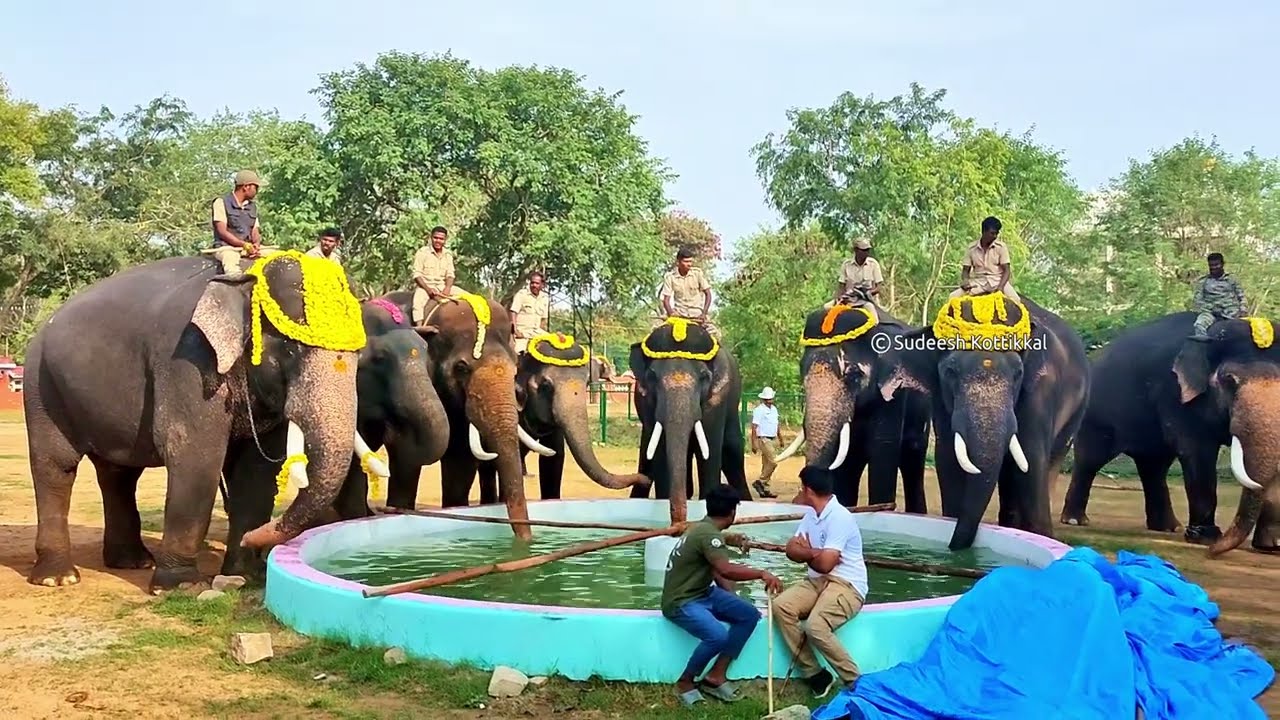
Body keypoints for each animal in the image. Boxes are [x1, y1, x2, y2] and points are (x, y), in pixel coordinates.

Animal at [22, 252, 368, 592]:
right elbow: (194, 455)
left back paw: (131, 562)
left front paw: (245, 576)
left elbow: (256, 469)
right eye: (291, 348)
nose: (254, 540)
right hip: (41, 386)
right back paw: (58, 577)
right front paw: (182, 586)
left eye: (359, 355)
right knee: (57, 466)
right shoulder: (187, 363)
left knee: (118, 473)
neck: (245, 275)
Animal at [627, 318, 751, 524]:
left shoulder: (716, 402)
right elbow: (660, 453)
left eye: (704, 377)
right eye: (651, 377)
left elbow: (710, 453)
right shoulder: (647, 403)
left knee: (733, 453)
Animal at [773, 302, 932, 512]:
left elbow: (882, 453)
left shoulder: (894, 394)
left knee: (913, 463)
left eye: (854, 375)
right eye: (801, 372)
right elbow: (845, 465)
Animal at [878, 293, 1090, 550]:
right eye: (950, 372)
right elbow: (949, 459)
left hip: (1077, 411)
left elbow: (1032, 457)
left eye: (1018, 373)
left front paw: (1042, 535)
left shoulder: (1040, 391)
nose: (953, 547)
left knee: (1049, 462)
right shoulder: (940, 397)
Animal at [1058, 312, 1280, 555]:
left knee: (1154, 465)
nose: (1214, 551)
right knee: (1091, 459)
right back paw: (1074, 521)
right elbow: (1197, 451)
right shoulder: (1176, 395)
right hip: (1093, 412)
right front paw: (1204, 538)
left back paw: (1167, 527)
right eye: (1229, 380)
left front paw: (1272, 546)